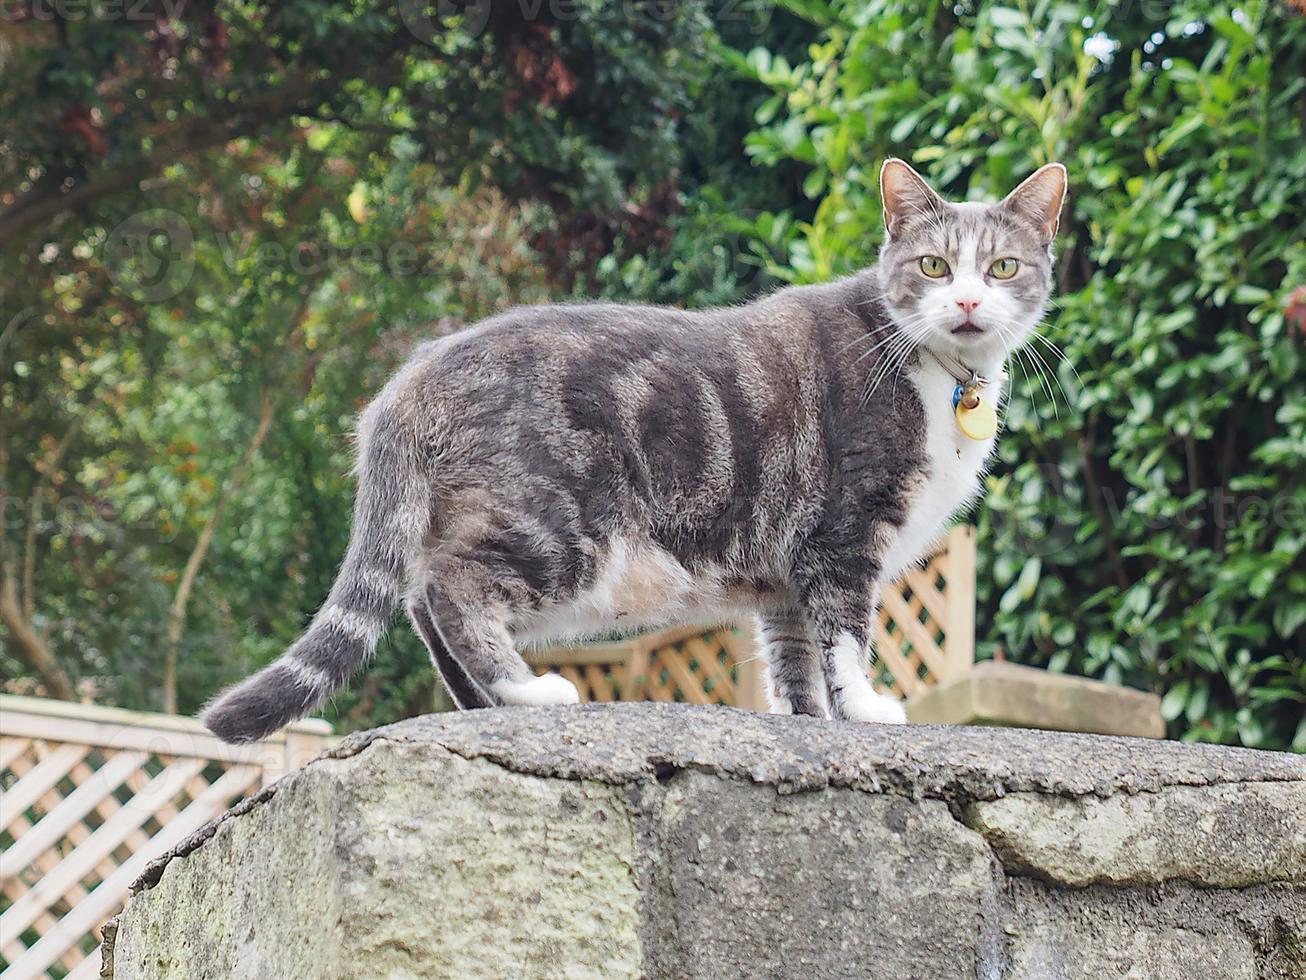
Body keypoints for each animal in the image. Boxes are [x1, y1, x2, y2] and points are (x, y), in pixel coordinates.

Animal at [201, 161, 1060, 742]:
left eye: (1004, 266)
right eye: (934, 265)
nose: (969, 300)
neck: (939, 374)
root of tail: (411, 377)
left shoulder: (786, 574)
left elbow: (793, 660)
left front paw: (808, 722)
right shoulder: (846, 535)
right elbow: (845, 638)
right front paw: (870, 708)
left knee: (418, 601)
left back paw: (486, 704)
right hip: (559, 526)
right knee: (450, 588)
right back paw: (526, 694)